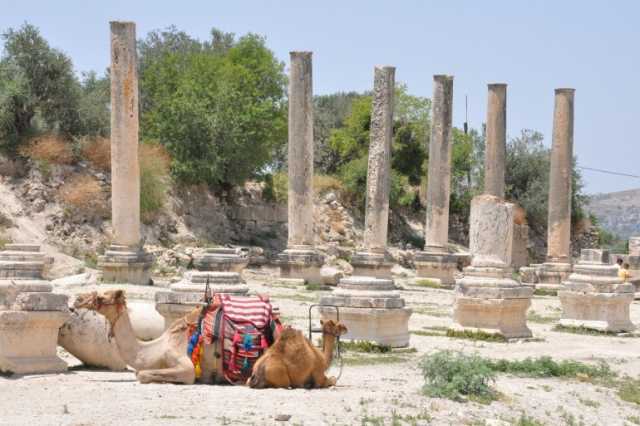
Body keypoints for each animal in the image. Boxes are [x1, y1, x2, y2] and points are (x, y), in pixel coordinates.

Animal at [73, 290, 220, 382]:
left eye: (101, 297)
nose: (77, 300)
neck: (156, 349)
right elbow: (138, 372)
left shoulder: (187, 367)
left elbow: (141, 374)